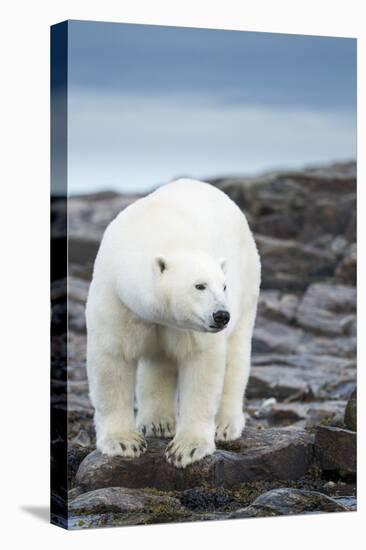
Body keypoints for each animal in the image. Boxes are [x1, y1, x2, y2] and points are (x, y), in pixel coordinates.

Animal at [86, 180, 260, 470]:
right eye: (199, 285)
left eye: (223, 286)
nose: (221, 315)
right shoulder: (116, 298)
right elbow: (113, 359)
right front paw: (124, 443)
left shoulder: (194, 329)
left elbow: (202, 366)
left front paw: (187, 449)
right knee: (159, 361)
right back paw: (157, 422)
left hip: (247, 286)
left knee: (236, 357)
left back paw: (224, 425)